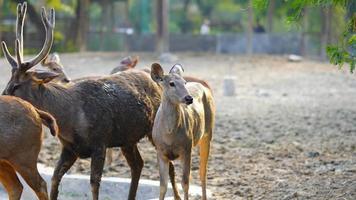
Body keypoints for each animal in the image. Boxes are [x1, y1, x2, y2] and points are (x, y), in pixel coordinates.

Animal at [149, 63, 214, 200]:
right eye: (171, 83)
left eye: (184, 82)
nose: (189, 98)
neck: (169, 135)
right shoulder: (160, 151)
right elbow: (163, 185)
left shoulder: (186, 148)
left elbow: (185, 183)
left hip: (208, 132)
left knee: (203, 172)